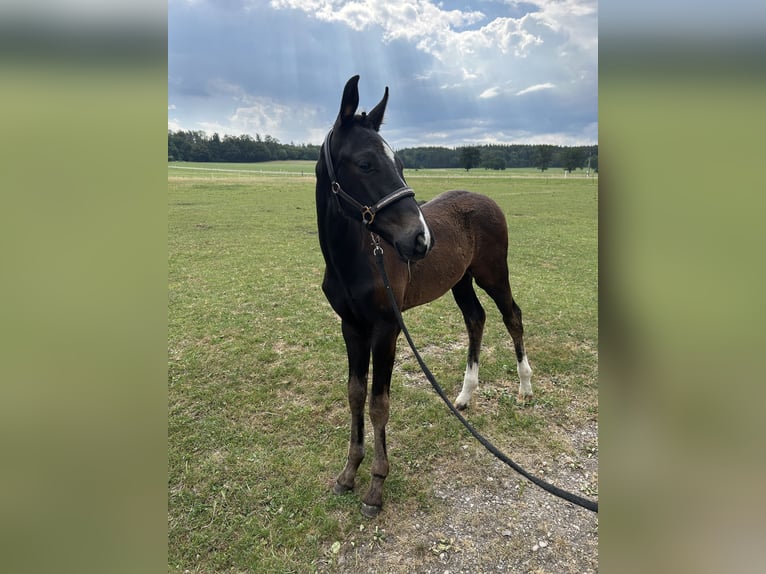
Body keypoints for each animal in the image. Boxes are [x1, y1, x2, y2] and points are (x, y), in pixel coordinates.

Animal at [315, 75, 533, 517]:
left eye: (400, 165)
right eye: (365, 163)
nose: (421, 240)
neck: (355, 258)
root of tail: (488, 200)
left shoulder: (386, 329)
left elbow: (379, 402)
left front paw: (375, 487)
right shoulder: (351, 327)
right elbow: (355, 393)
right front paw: (348, 474)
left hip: (493, 274)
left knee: (512, 316)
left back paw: (525, 389)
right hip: (461, 281)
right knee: (476, 319)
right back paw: (464, 397)